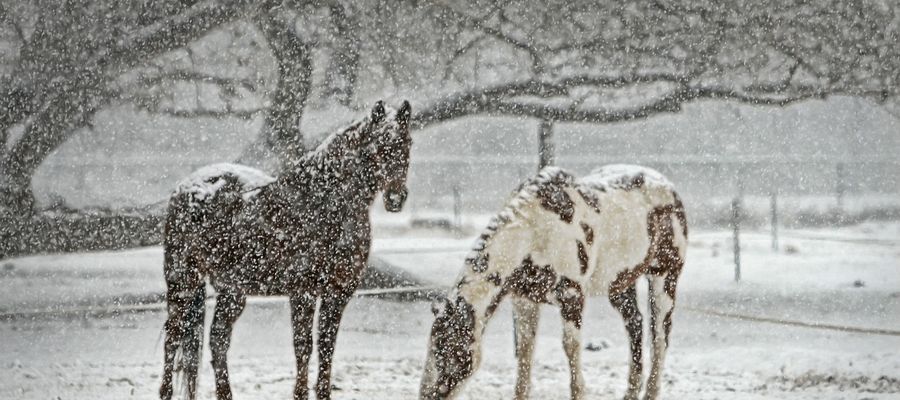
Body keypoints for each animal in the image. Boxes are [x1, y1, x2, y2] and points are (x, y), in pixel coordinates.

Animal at [160, 101, 414, 400]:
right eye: (378, 144)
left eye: (407, 142)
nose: (396, 198)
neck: (323, 203)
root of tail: (187, 186)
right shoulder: (303, 292)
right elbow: (303, 346)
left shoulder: (338, 292)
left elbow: (327, 345)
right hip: (183, 281)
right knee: (173, 336)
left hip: (232, 292)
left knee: (218, 340)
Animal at [422, 165, 688, 400]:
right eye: (432, 346)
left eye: (451, 351)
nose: (427, 395)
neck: (535, 232)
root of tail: (670, 188)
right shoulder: (525, 300)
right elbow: (526, 351)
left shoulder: (571, 297)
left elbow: (570, 348)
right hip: (620, 285)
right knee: (635, 325)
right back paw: (631, 393)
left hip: (665, 277)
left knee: (660, 336)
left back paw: (651, 392)